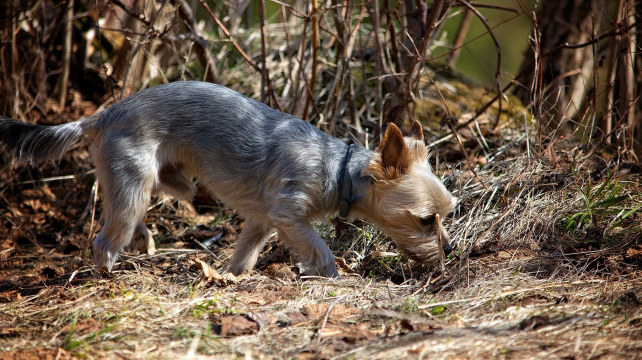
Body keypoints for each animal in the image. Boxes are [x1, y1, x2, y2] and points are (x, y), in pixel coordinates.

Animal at [2, 81, 458, 278]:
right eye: (425, 219)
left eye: (447, 214)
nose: (450, 250)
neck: (339, 170)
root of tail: (103, 115)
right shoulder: (289, 215)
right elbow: (321, 250)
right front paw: (330, 277)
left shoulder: (261, 221)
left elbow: (245, 254)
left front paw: (233, 278)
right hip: (133, 184)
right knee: (105, 240)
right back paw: (108, 274)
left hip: (157, 181)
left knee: (145, 203)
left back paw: (147, 239)